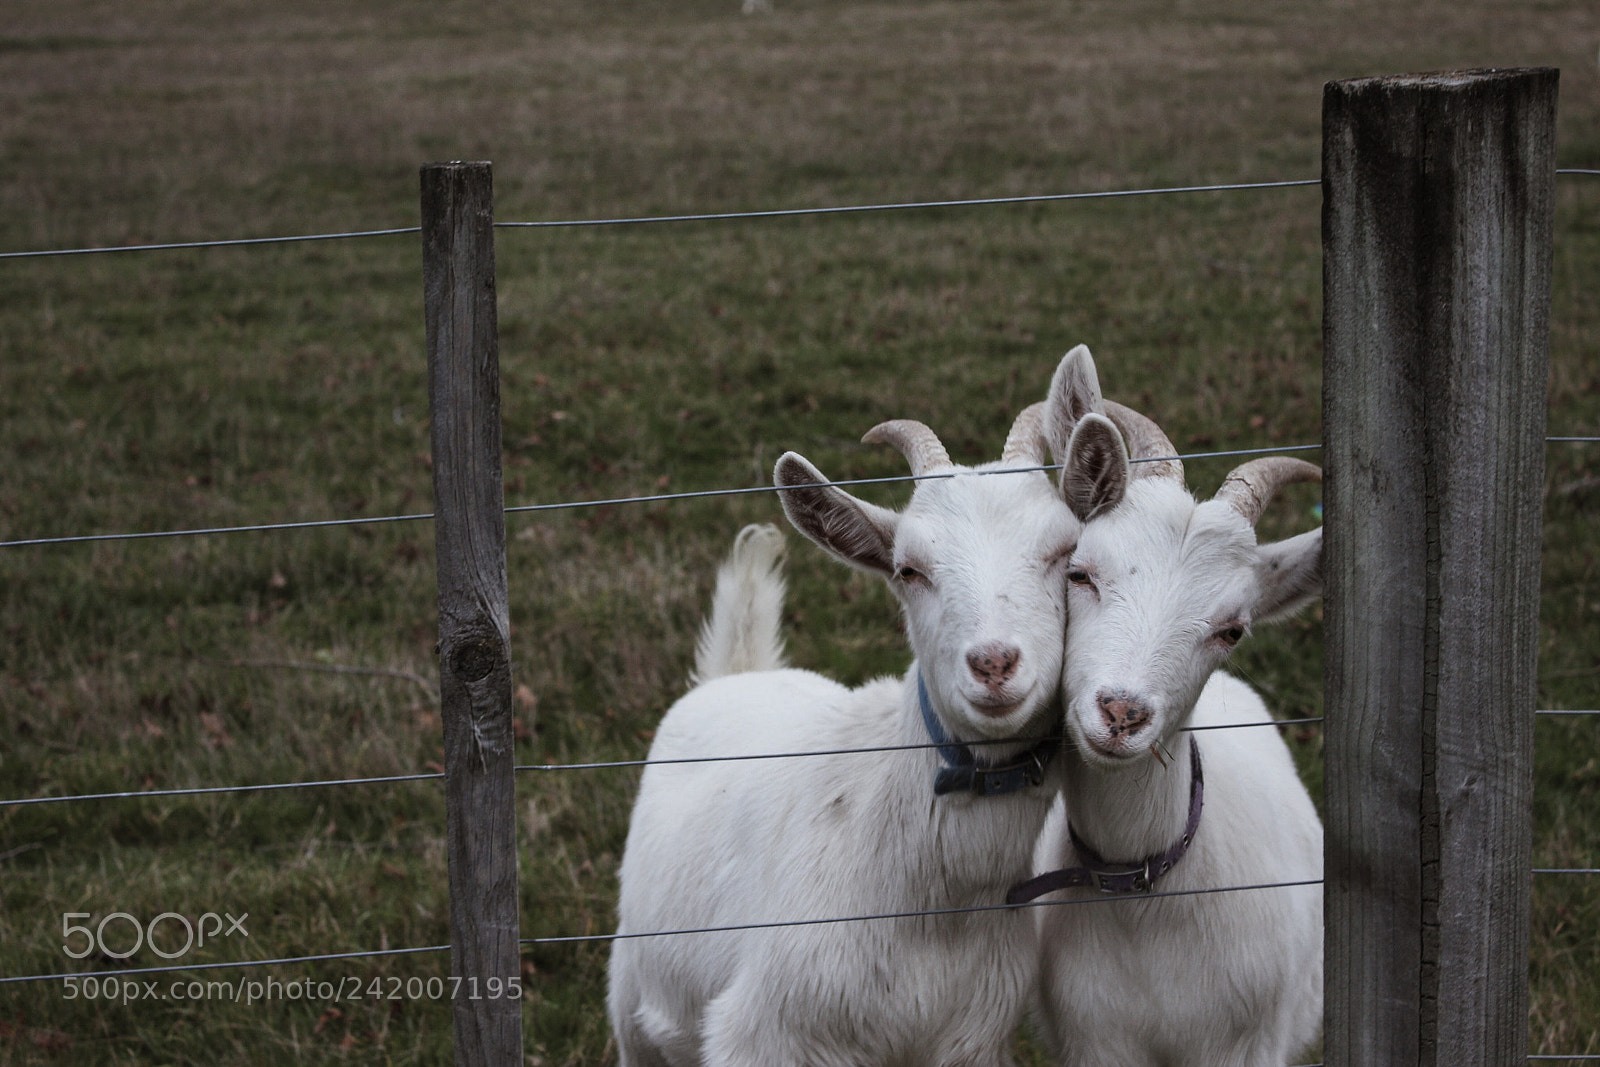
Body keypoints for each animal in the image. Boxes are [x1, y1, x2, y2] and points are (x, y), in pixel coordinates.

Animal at [607, 346, 1125, 1067]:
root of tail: (738, 671)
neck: (931, 909)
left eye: (1064, 555)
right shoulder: (760, 1035)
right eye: (909, 570)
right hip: (633, 1001)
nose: (994, 663)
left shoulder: (973, 1038)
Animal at [1016, 358, 1324, 1067]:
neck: (1144, 901)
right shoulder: (1092, 1041)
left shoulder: (1250, 1042)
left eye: (1234, 629)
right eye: (1081, 573)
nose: (1121, 713)